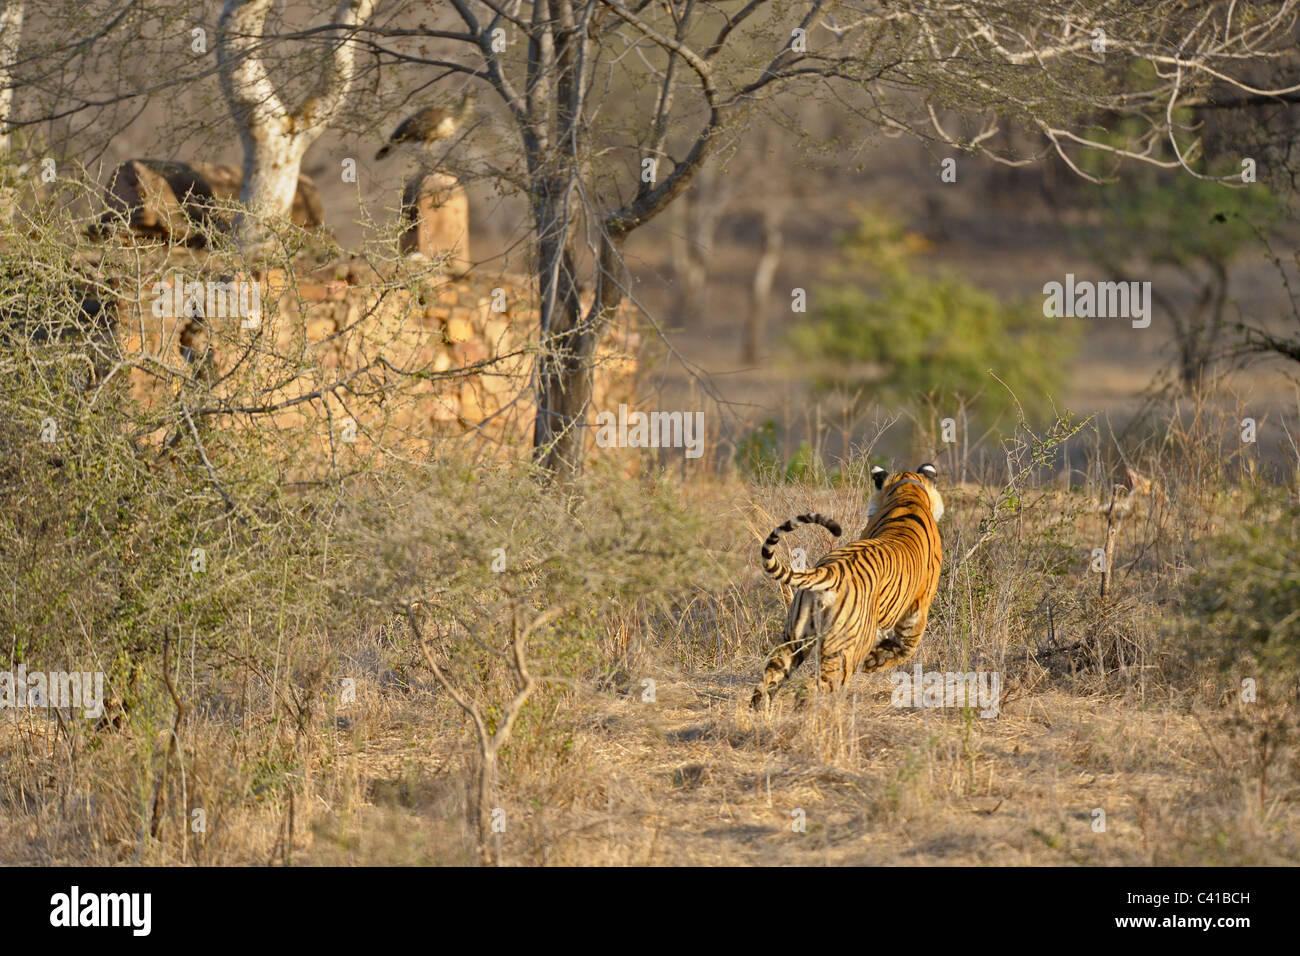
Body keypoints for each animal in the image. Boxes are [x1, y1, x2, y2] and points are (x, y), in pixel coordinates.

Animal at [754, 463, 946, 712]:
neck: (908, 492)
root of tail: (832, 571)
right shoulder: (917, 609)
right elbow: (906, 646)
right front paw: (873, 662)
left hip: (793, 637)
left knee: (768, 679)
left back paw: (759, 715)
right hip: (844, 652)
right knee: (812, 686)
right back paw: (806, 716)